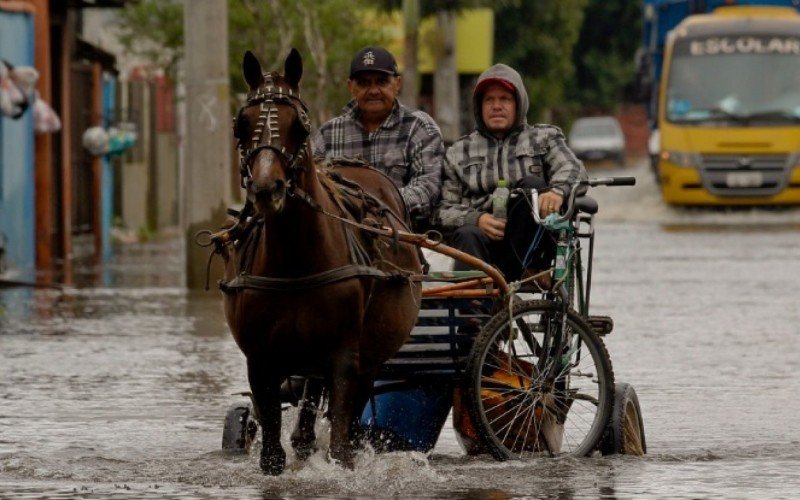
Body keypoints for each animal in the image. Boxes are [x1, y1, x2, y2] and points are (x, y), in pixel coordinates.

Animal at [216, 49, 422, 476]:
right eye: (241, 125)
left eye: (300, 125)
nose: (267, 188)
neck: (295, 261)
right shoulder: (260, 359)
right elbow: (272, 452)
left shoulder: (346, 356)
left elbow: (342, 445)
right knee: (310, 392)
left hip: (370, 356)